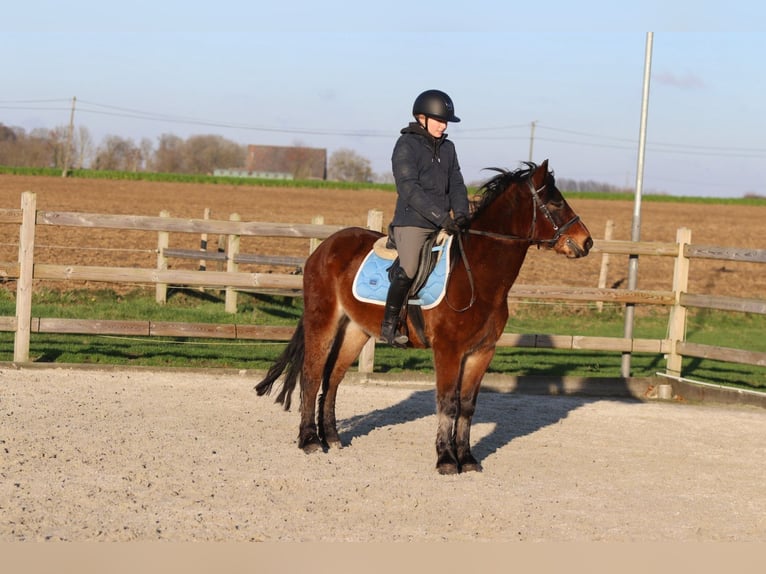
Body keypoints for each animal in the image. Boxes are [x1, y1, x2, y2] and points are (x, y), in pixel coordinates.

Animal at [255, 160, 593, 474]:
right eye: (555, 202)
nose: (586, 241)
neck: (476, 275)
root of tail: (323, 247)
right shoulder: (448, 350)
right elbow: (447, 403)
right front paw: (446, 460)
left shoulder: (482, 352)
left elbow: (467, 406)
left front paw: (467, 459)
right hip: (323, 322)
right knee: (312, 375)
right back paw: (310, 441)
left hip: (355, 331)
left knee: (333, 379)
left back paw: (333, 438)